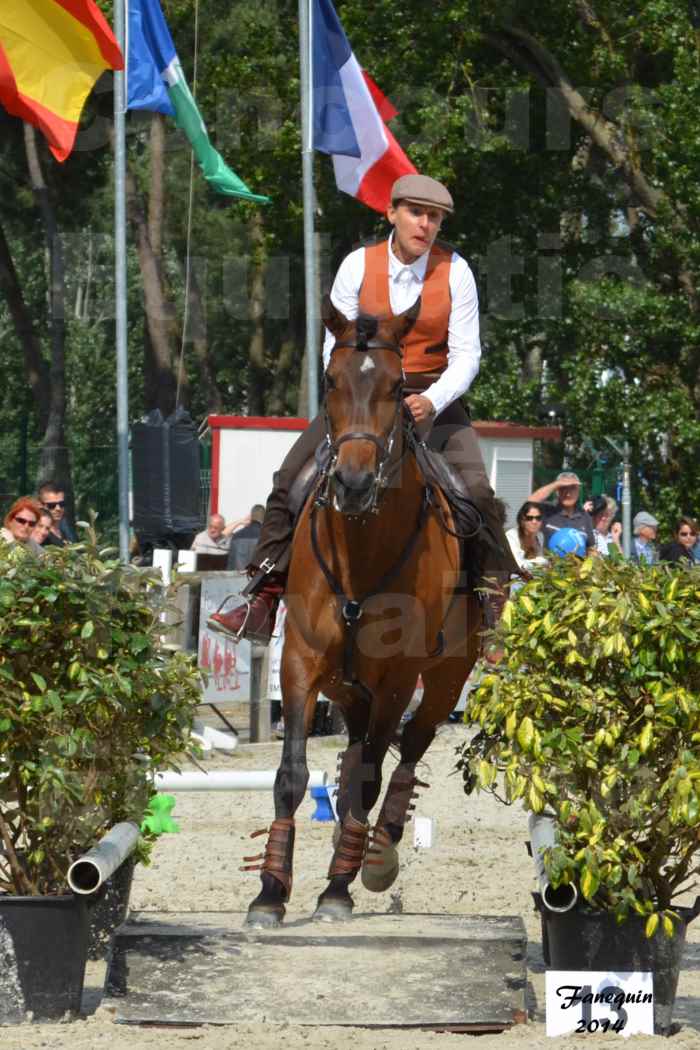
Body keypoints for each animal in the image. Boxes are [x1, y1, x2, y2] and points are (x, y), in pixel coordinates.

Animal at [248, 296, 484, 928]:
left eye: (399, 386)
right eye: (331, 380)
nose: (352, 482)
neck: (362, 545)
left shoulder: (398, 679)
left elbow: (374, 778)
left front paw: (337, 889)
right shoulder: (300, 663)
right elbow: (292, 774)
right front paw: (270, 892)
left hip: (442, 679)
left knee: (408, 751)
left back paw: (376, 856)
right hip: (349, 686)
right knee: (354, 755)